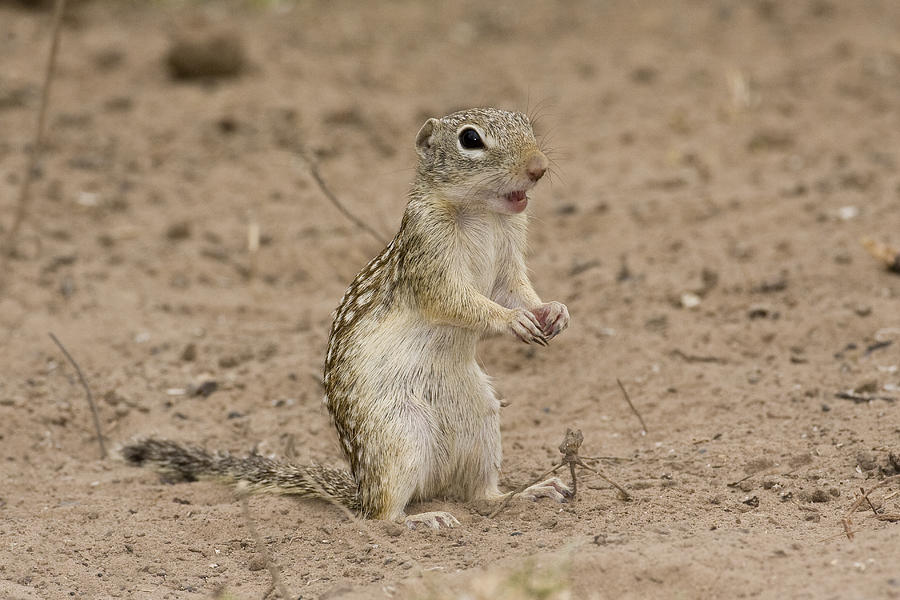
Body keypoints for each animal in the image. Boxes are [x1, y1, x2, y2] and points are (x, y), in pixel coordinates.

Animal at [121, 108, 568, 528]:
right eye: (471, 139)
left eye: (526, 123)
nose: (539, 167)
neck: (483, 214)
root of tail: (359, 486)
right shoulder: (428, 254)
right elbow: (457, 300)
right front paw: (513, 321)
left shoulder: (509, 258)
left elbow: (516, 290)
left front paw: (554, 311)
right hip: (399, 439)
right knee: (381, 515)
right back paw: (421, 518)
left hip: (482, 425)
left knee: (479, 495)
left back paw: (529, 492)